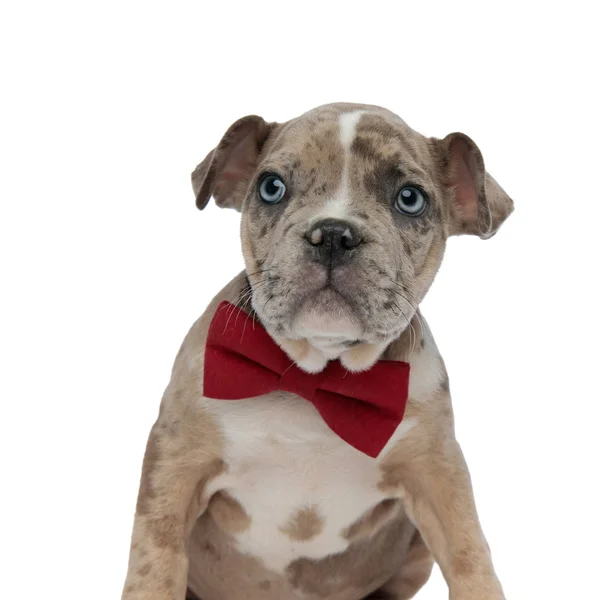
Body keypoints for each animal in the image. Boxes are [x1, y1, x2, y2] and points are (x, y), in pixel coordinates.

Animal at [123, 104, 516, 600]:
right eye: (271, 187)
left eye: (410, 199)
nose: (332, 233)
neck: (315, 377)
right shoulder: (176, 465)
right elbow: (154, 563)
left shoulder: (438, 474)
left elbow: (470, 557)